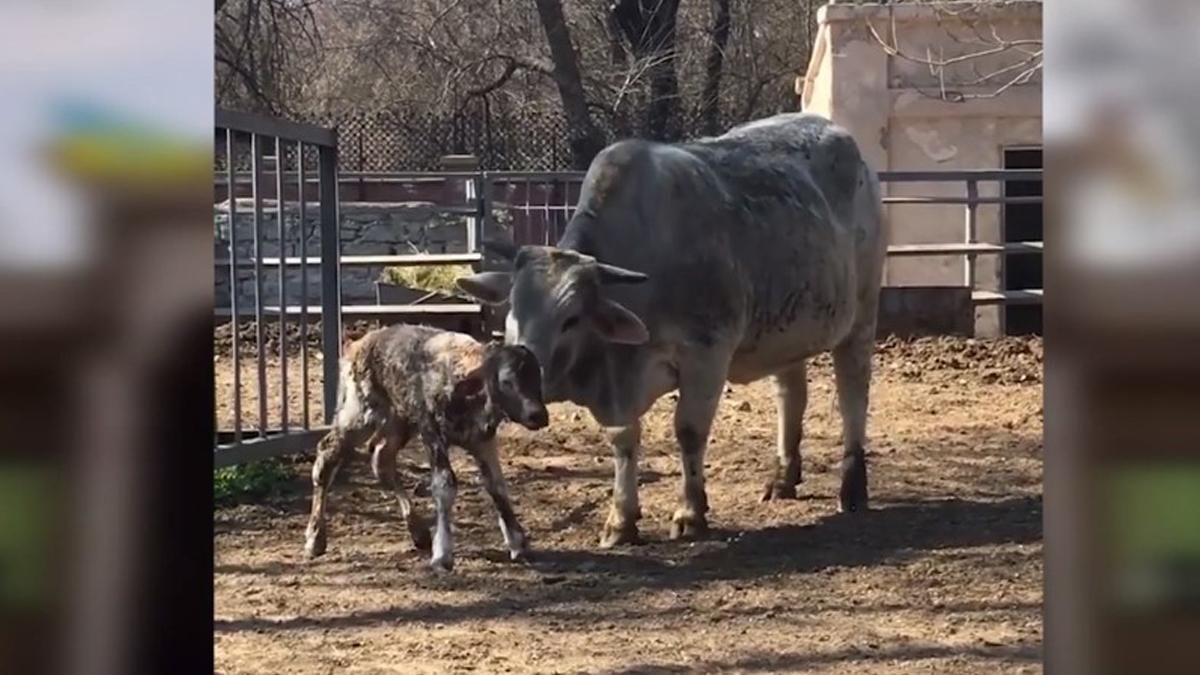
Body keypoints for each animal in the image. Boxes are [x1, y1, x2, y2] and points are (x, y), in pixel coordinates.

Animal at [302, 324, 547, 569]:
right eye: (506, 381)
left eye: (538, 379)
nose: (539, 415)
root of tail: (359, 343)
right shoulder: (432, 433)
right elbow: (445, 485)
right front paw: (442, 555)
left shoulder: (482, 440)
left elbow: (496, 485)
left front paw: (517, 543)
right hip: (359, 414)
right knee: (327, 454)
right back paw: (315, 538)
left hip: (400, 420)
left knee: (381, 458)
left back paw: (418, 531)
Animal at [453, 112, 888, 542]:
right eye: (512, 311)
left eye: (570, 319)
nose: (514, 383)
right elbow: (624, 440)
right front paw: (621, 519)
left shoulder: (706, 356)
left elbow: (689, 431)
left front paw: (690, 512)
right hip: (787, 331)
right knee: (791, 395)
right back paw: (782, 478)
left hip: (862, 316)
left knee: (853, 396)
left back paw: (852, 486)